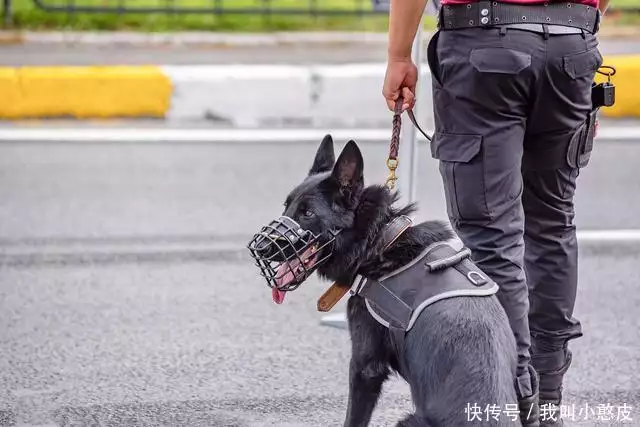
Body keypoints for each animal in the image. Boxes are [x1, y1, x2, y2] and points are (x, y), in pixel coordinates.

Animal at [249, 138, 520, 427]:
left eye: (307, 213)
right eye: (286, 206)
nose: (261, 247)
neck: (380, 240)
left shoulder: (364, 366)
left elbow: (354, 417)